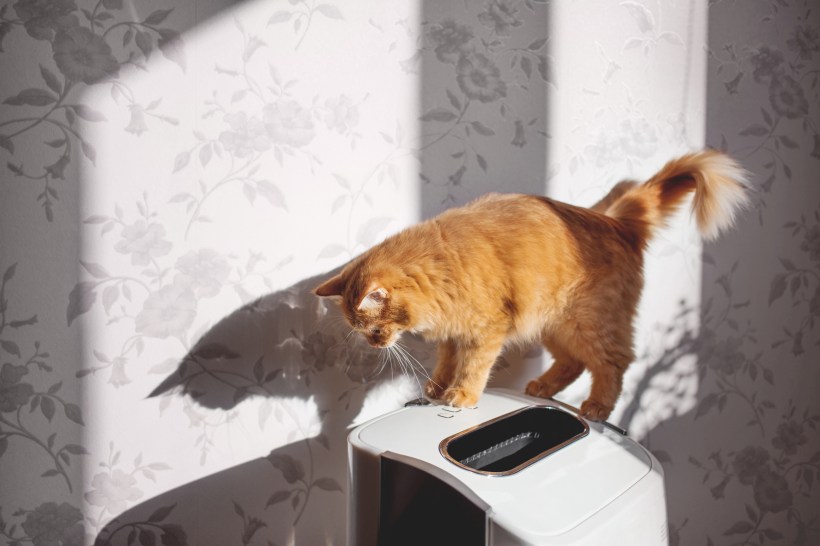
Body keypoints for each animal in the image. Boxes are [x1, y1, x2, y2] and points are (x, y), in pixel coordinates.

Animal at [314, 151, 748, 418]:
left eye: (373, 327)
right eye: (361, 331)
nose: (375, 345)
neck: (441, 265)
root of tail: (615, 221)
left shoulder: (485, 330)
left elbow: (472, 368)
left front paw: (461, 396)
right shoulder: (454, 333)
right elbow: (446, 363)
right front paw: (436, 388)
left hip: (590, 323)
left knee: (614, 363)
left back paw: (597, 407)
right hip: (553, 325)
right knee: (574, 363)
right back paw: (542, 387)